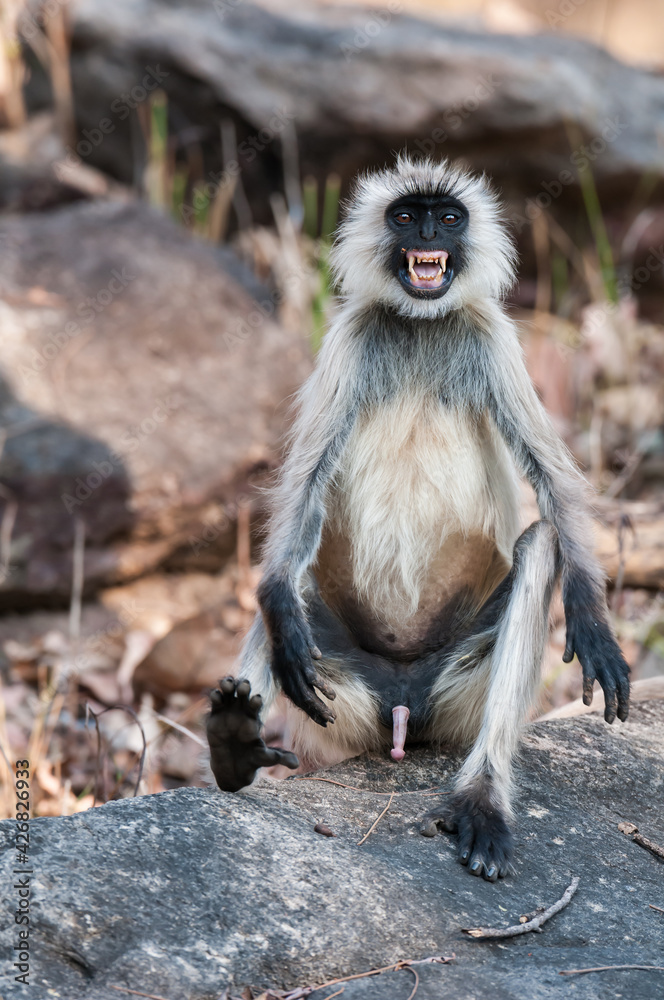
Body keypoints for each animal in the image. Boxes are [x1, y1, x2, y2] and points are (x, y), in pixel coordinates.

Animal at [206, 154, 630, 881]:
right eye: (406, 215)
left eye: (449, 216)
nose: (429, 232)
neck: (422, 324)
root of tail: (402, 705)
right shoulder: (350, 337)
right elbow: (300, 494)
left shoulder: (493, 336)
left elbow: (555, 484)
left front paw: (595, 621)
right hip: (339, 694)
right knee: (284, 587)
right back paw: (236, 741)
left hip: (454, 696)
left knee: (542, 545)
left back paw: (482, 799)